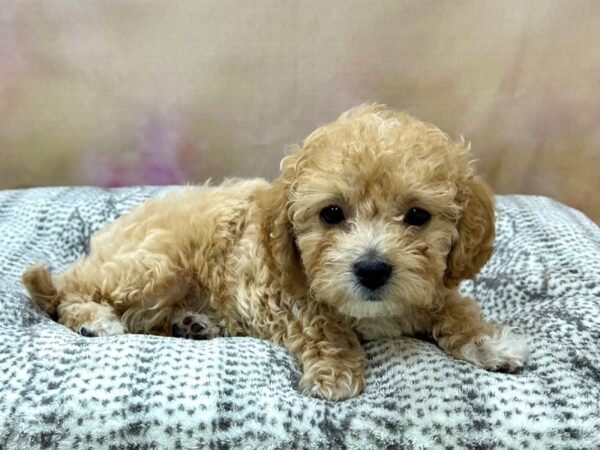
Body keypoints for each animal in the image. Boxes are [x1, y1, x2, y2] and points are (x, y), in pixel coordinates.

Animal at [22, 103, 528, 400]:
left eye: (418, 216)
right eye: (331, 213)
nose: (372, 270)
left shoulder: (432, 287)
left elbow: (456, 309)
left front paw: (489, 342)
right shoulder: (277, 293)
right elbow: (324, 326)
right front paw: (336, 371)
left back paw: (195, 324)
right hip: (154, 266)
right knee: (67, 289)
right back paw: (94, 319)